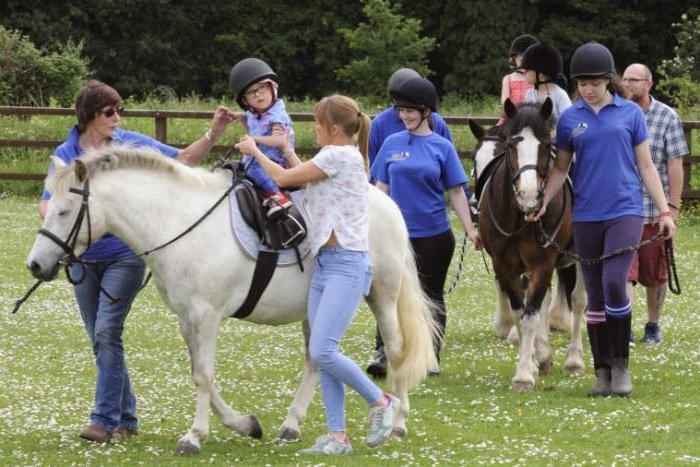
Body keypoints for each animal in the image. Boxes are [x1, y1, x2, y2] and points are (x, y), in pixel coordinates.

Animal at [27, 146, 438, 454]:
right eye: (48, 206)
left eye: (65, 211)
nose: (35, 264)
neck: (179, 223)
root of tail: (387, 203)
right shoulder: (188, 319)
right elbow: (201, 375)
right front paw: (244, 424)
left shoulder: (207, 316)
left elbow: (204, 376)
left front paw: (194, 437)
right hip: (315, 309)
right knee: (315, 361)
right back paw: (291, 425)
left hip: (382, 296)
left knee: (396, 349)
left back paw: (398, 422)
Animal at [476, 100, 584, 394]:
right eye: (511, 144)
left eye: (546, 145)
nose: (529, 195)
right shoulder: (506, 265)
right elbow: (520, 313)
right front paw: (535, 360)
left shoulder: (542, 264)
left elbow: (530, 316)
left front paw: (524, 374)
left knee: (579, 302)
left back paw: (574, 359)